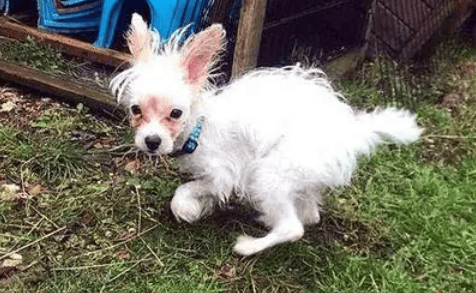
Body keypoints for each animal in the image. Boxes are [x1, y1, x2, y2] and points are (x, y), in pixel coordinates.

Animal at [109, 13, 422, 254]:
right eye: (136, 110)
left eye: (175, 113)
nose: (151, 141)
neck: (200, 126)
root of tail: (351, 131)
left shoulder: (222, 174)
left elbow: (187, 190)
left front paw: (186, 208)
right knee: (310, 215)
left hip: (269, 175)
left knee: (293, 228)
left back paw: (249, 246)